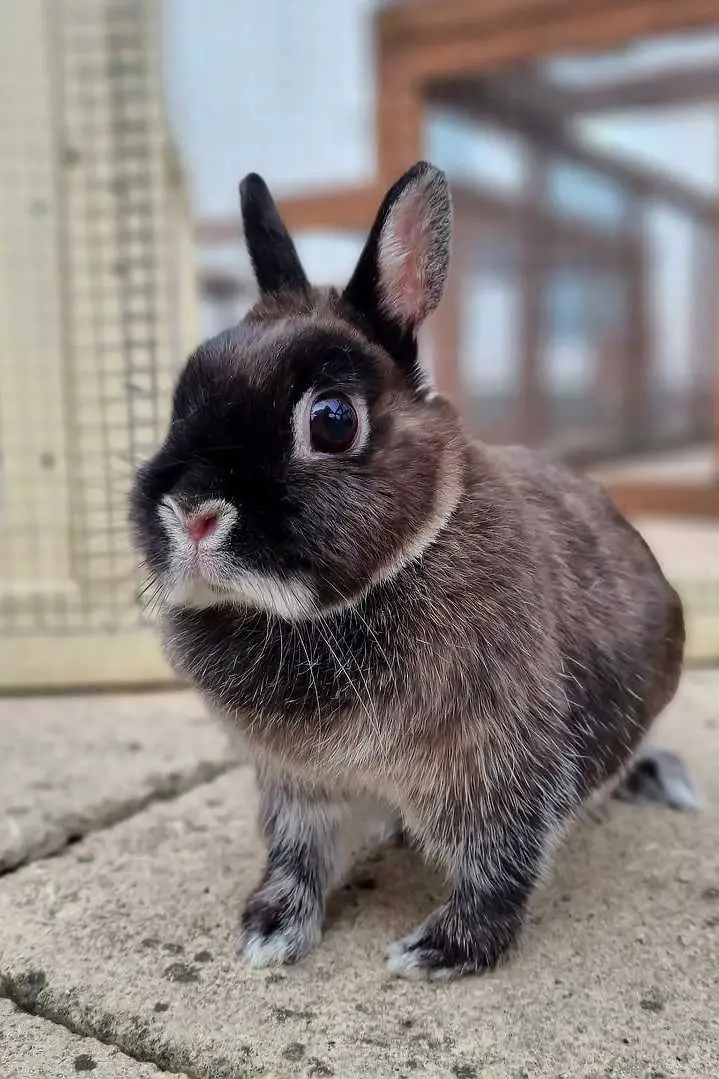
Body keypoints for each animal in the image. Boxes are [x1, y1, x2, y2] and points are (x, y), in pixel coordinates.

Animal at [129, 159, 695, 979]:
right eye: (179, 404)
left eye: (332, 420)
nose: (192, 510)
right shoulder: (298, 786)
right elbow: (297, 854)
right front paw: (270, 930)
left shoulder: (501, 769)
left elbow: (499, 864)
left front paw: (441, 950)